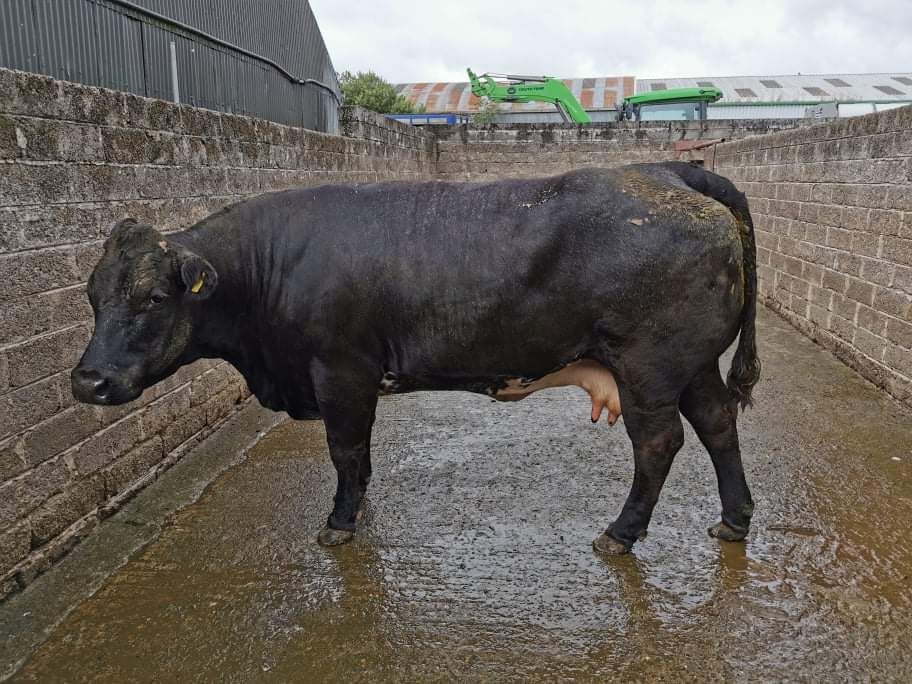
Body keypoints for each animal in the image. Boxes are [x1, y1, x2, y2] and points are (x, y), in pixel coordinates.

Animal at [71, 162, 760, 555]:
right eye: (92, 295)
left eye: (154, 296)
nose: (89, 381)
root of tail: (672, 173)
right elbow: (360, 457)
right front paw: (358, 506)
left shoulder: (341, 370)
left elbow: (346, 449)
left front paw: (340, 523)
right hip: (692, 364)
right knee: (717, 424)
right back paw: (734, 520)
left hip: (650, 365)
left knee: (659, 443)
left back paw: (621, 534)